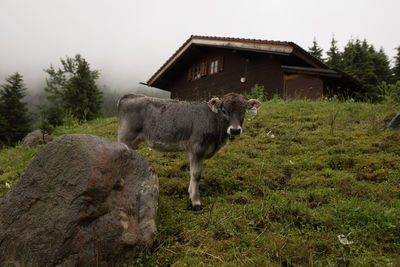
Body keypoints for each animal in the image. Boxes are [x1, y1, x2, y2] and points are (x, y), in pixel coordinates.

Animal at [117, 93, 260, 210]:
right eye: (224, 111)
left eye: (243, 111)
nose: (235, 130)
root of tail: (130, 95)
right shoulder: (197, 147)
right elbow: (196, 175)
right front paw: (196, 202)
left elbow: (192, 173)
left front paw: (190, 195)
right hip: (125, 138)